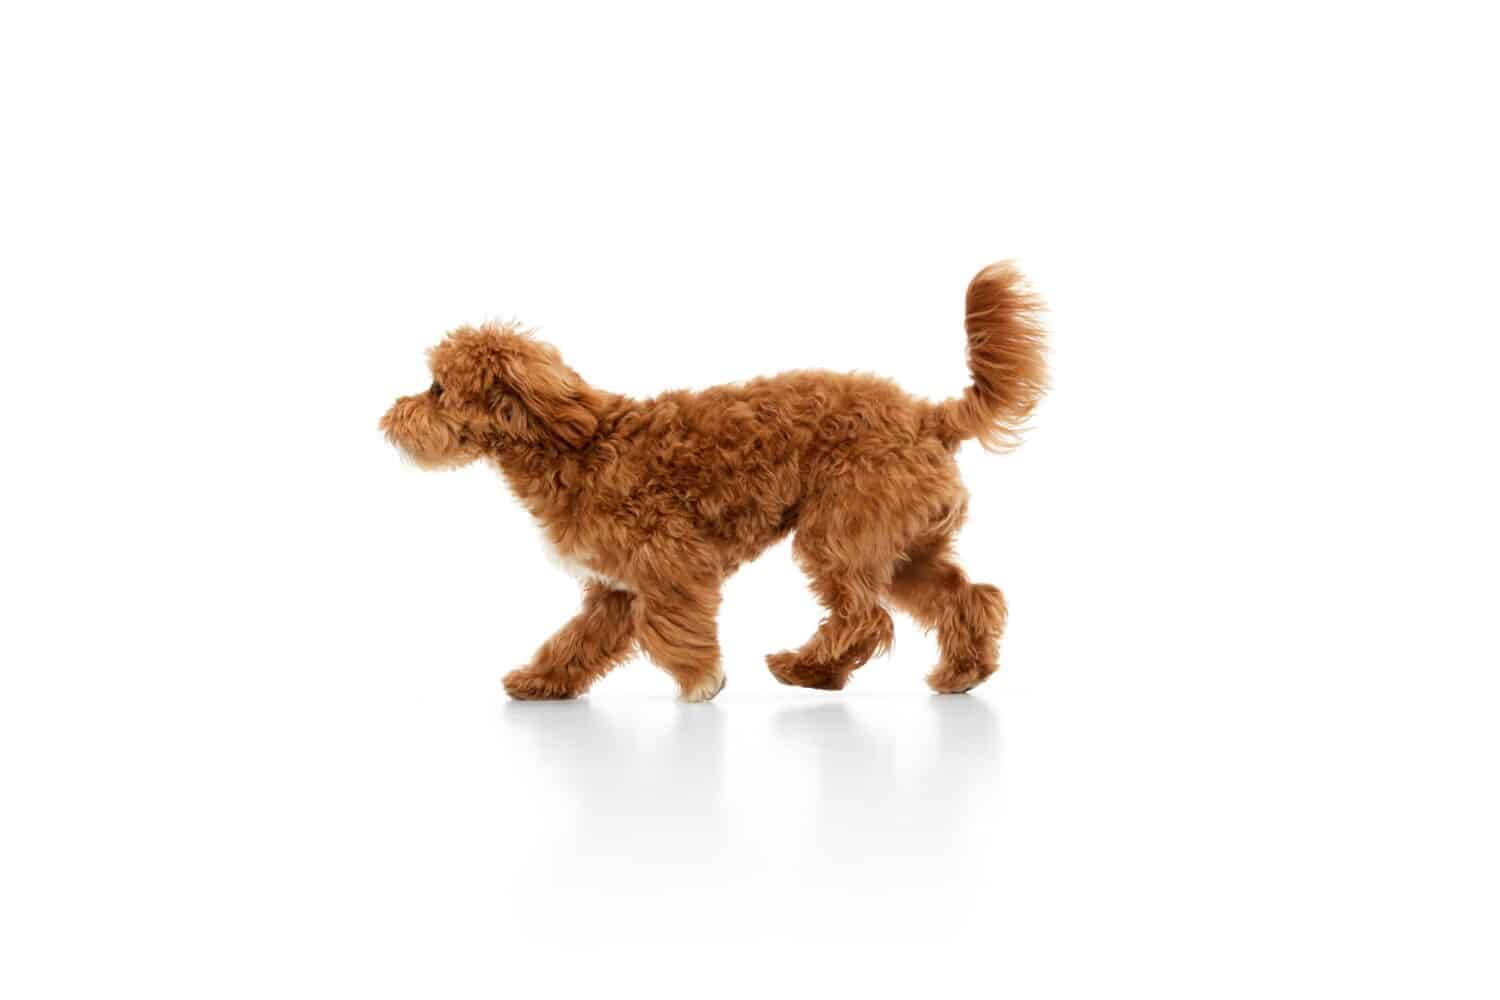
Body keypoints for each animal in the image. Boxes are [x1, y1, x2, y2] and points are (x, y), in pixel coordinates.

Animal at [381, 265, 1050, 704]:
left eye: (437, 389)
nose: (391, 419)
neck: (574, 441)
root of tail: (928, 416)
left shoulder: (671, 562)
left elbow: (671, 629)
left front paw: (700, 681)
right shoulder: (615, 588)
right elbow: (578, 640)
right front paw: (541, 681)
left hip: (839, 536)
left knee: (866, 617)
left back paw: (807, 670)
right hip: (903, 547)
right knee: (971, 597)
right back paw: (960, 672)